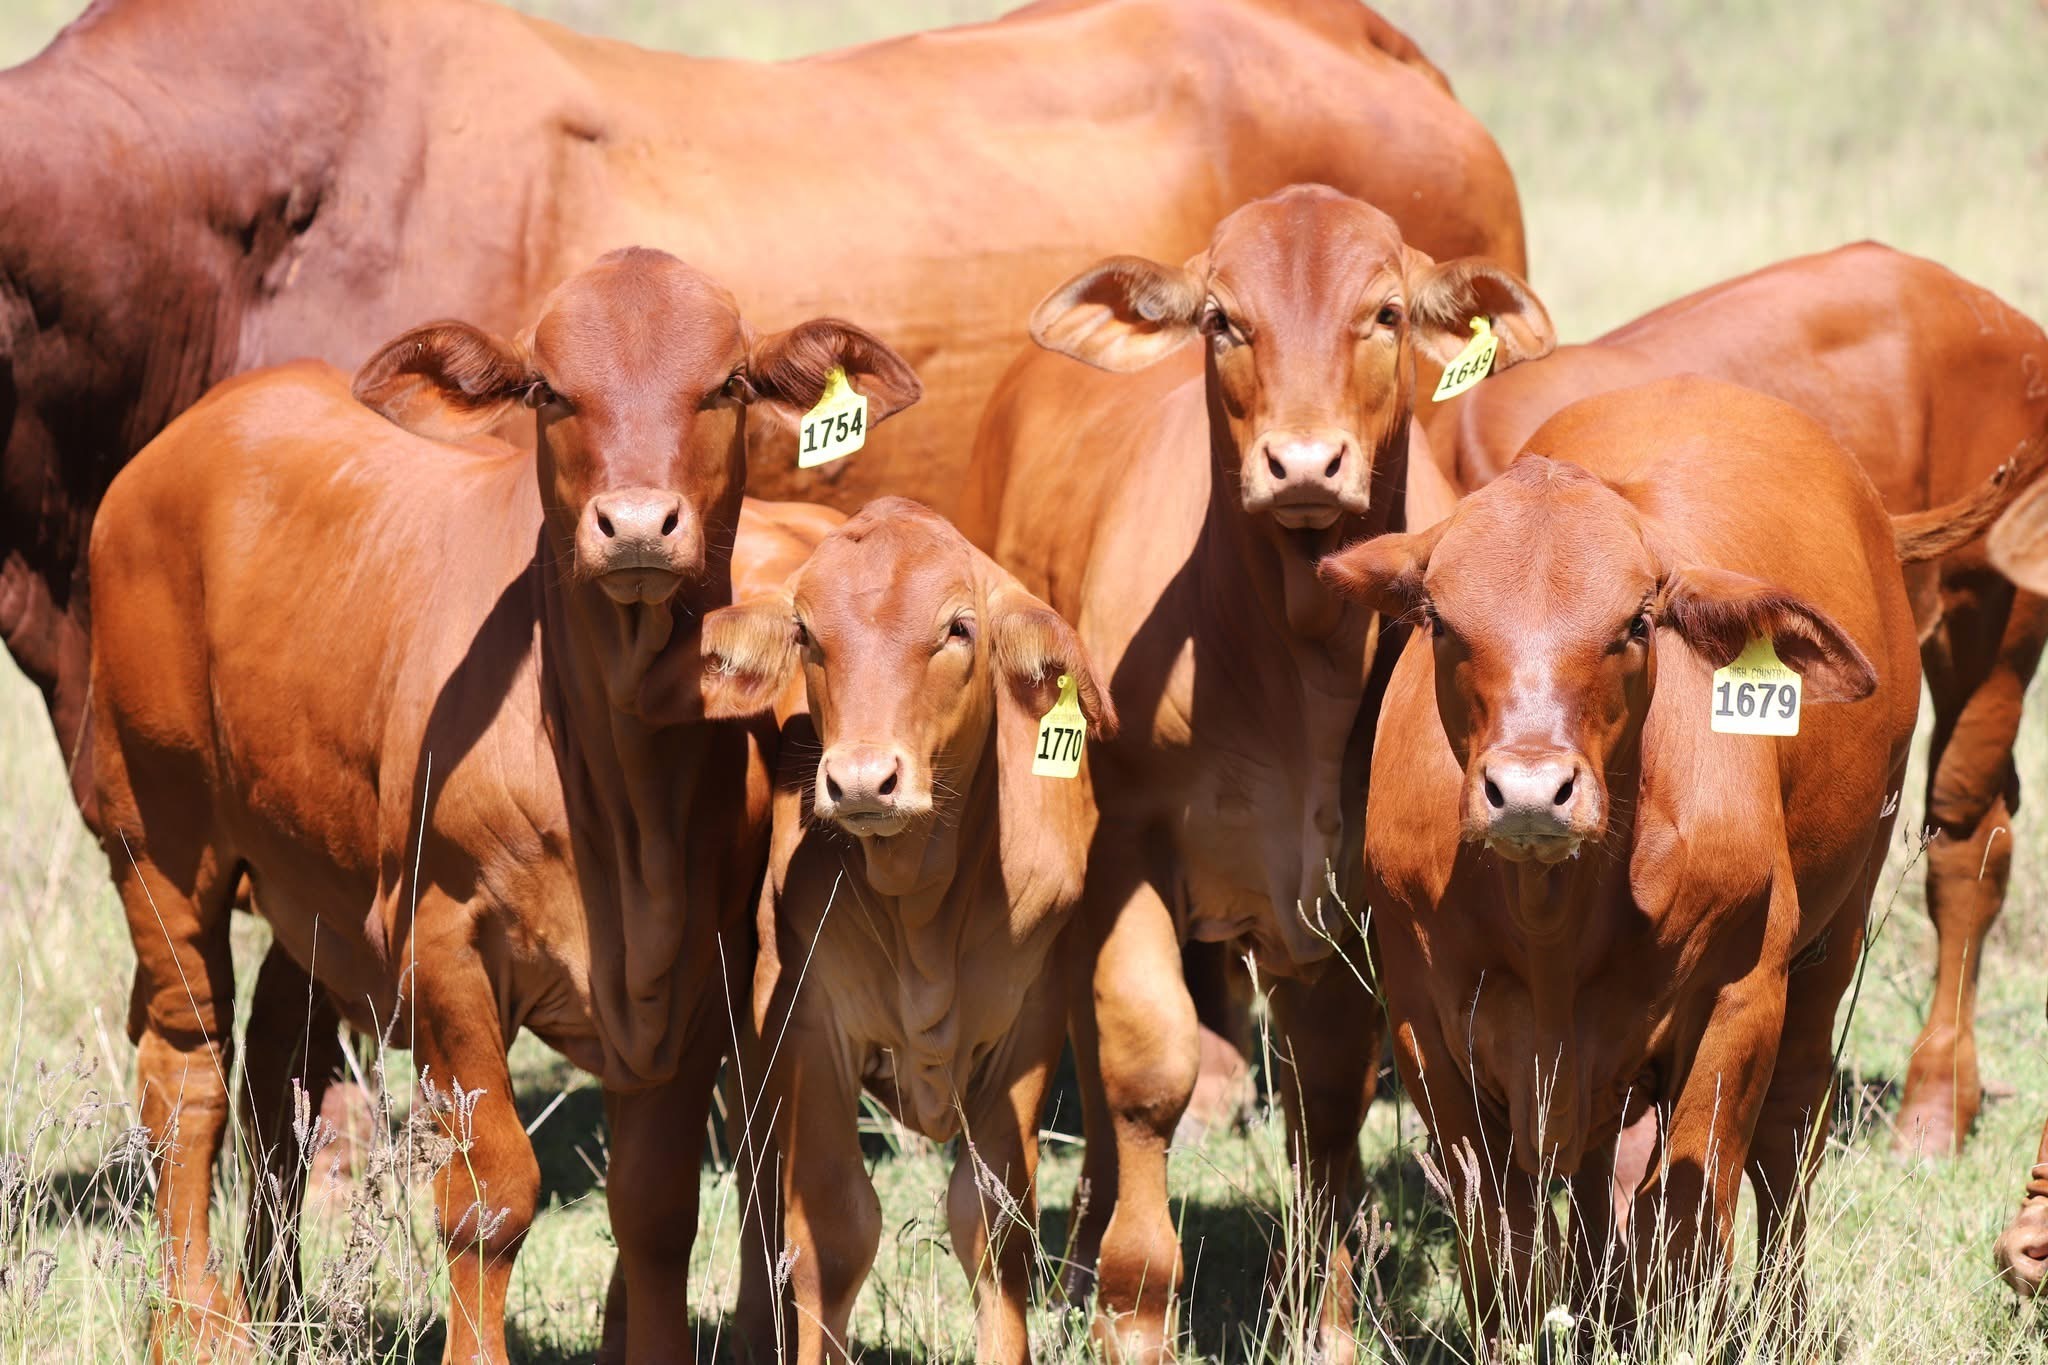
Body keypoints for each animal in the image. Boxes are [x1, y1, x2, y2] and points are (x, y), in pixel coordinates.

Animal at [86, 247, 919, 1362]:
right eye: (547, 392)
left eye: (729, 385)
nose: (637, 525)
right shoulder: (447, 947)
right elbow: (492, 1194)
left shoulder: (695, 974)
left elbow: (656, 1203)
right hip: (160, 835)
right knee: (186, 1071)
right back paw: (196, 1318)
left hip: (308, 877)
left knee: (274, 1061)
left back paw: (278, 1297)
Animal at [696, 497, 1114, 1364]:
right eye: (807, 634)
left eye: (958, 628)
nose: (861, 779)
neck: (925, 905)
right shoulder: (809, 1024)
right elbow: (833, 1230)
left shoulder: (1030, 1025)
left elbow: (993, 1224)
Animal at [962, 183, 1553, 1360]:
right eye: (1222, 320)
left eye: (1383, 313)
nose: (1304, 464)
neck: (1299, 649)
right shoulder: (1126, 851)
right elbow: (1146, 1071)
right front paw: (1131, 1309)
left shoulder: (1348, 901)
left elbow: (1329, 1103)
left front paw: (1329, 1318)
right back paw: (1083, 1248)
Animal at [1317, 376, 2034, 1343]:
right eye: (1439, 619)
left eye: (1636, 622)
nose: (1532, 791)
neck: (1552, 920)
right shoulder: (1425, 1027)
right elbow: (1500, 1234)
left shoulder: (1740, 999)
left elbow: (1685, 1213)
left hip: (1833, 935)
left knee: (1787, 1139)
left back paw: (1779, 1316)